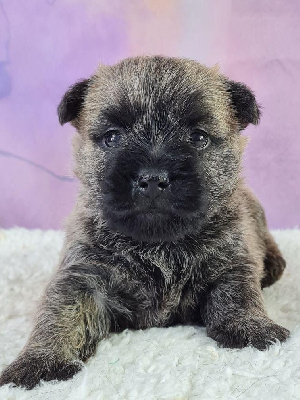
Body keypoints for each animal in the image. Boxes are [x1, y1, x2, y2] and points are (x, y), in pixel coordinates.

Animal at [0, 54, 290, 390]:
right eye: (112, 137)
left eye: (198, 138)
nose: (152, 178)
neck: (158, 243)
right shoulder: (81, 276)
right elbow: (58, 314)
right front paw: (39, 361)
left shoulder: (233, 262)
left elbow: (237, 295)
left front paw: (253, 328)